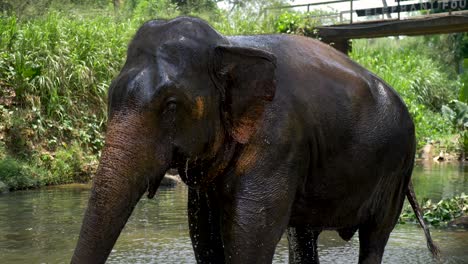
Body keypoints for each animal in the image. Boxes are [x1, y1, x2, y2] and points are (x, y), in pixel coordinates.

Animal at [70, 17, 438, 264]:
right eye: (109, 97)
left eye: (171, 105)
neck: (227, 44)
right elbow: (205, 238)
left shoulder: (279, 142)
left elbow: (248, 239)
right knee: (303, 235)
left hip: (397, 167)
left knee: (375, 237)